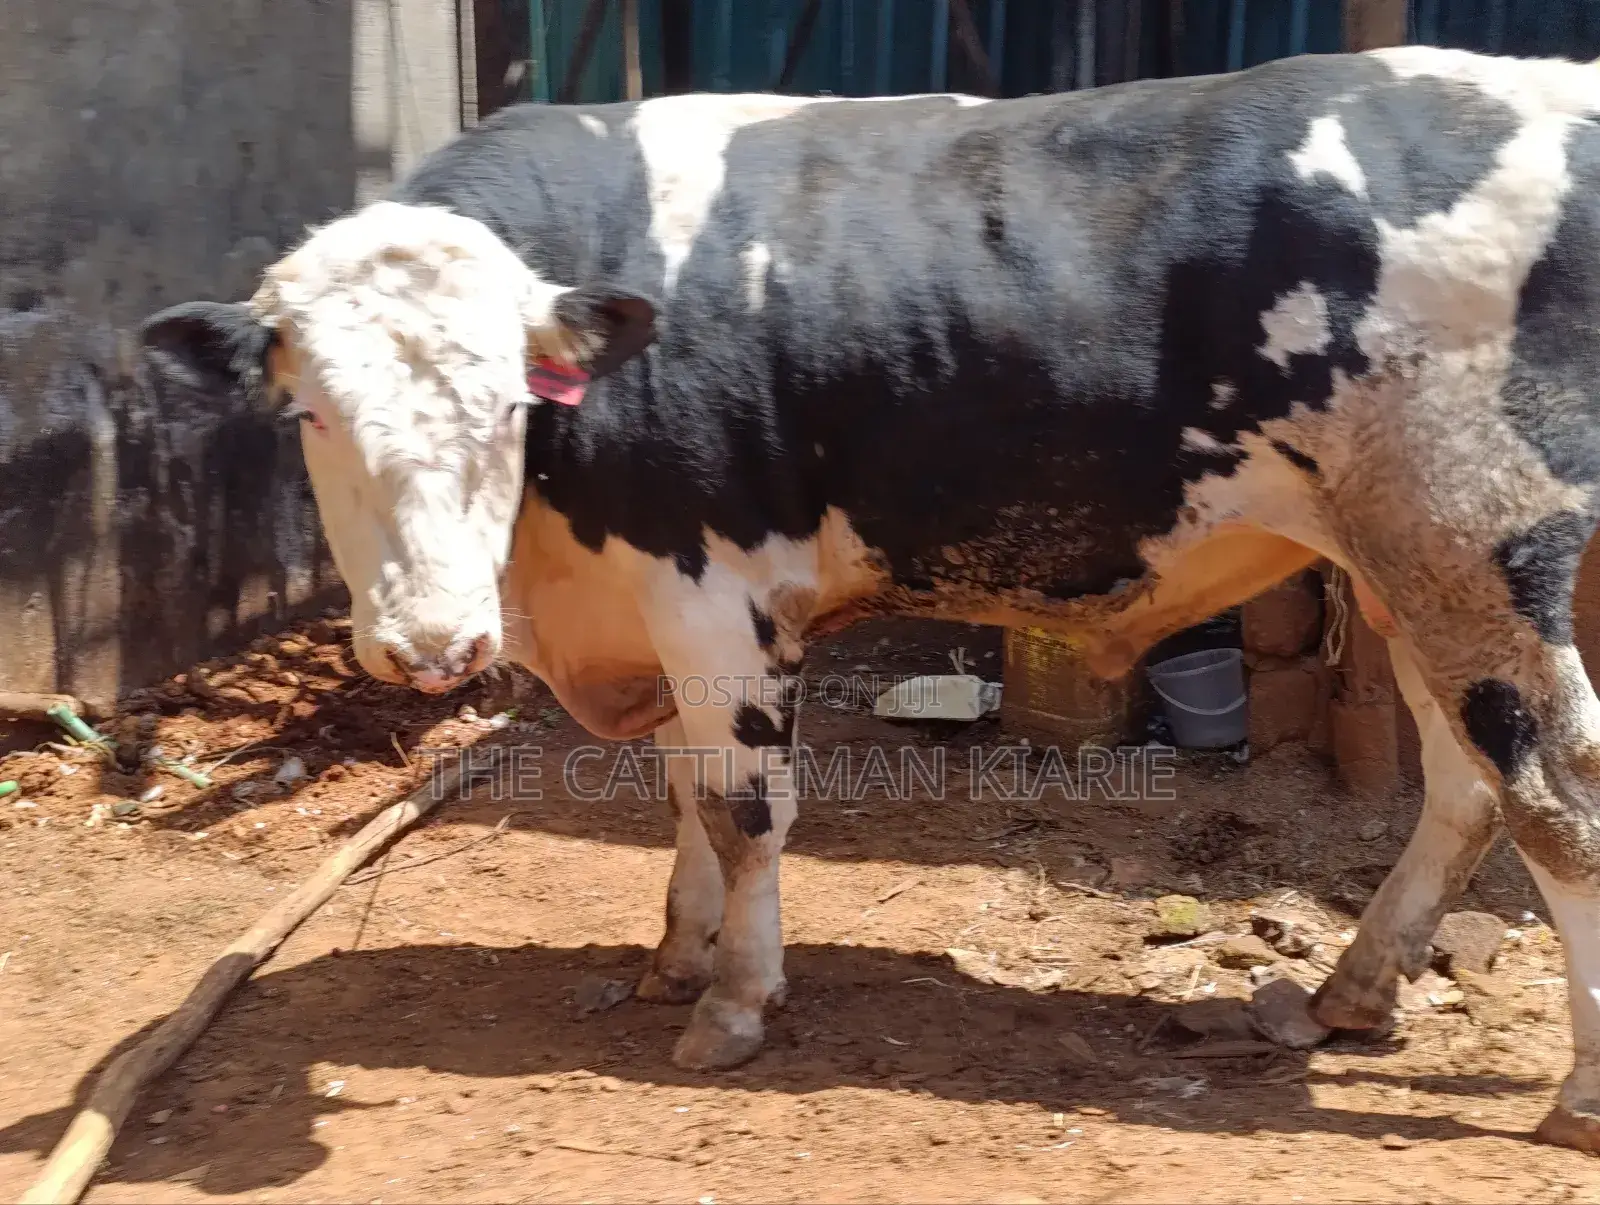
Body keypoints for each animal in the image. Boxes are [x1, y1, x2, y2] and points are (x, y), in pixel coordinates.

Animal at [138, 45, 1600, 1151]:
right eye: (312, 411)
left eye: (511, 401)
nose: (431, 640)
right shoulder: (654, 605)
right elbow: (684, 790)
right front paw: (678, 952)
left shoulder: (712, 587)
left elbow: (741, 807)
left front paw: (732, 1005)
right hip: (1402, 565)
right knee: (1464, 789)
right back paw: (1352, 992)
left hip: (1479, 538)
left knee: (1554, 801)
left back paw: (1575, 1095)